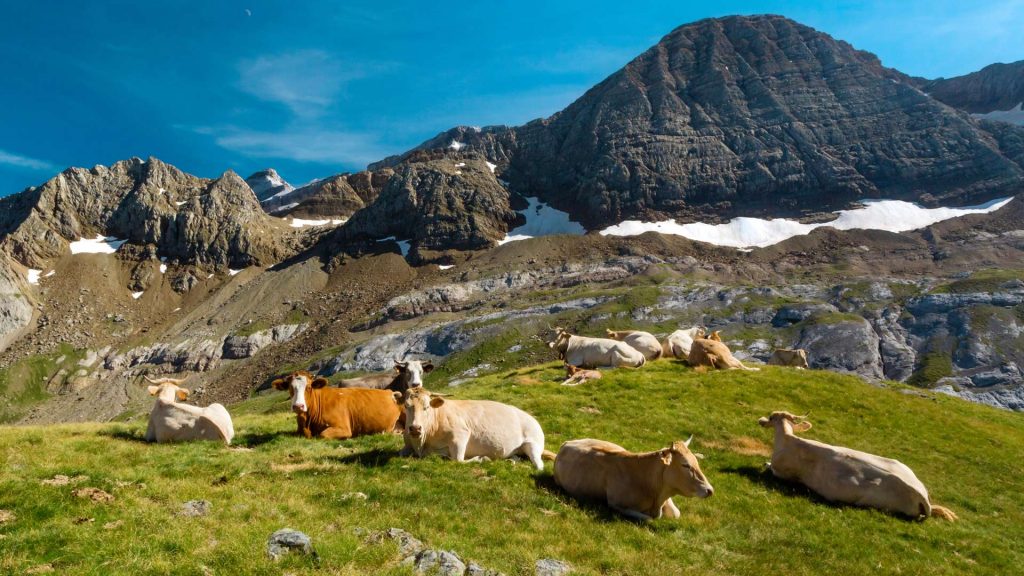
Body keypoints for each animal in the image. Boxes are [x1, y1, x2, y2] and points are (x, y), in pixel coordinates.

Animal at [274, 368, 405, 436]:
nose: (298, 406)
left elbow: (322, 434)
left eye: (309, 387)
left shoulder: (344, 428)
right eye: (290, 388)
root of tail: (390, 392)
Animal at [557, 434, 716, 520]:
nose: (710, 490)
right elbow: (648, 519)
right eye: (685, 465)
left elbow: (676, 513)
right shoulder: (616, 504)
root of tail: (567, 442)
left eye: (696, 461)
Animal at [757, 407, 954, 520]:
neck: (786, 440)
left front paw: (765, 463)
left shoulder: (781, 473)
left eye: (771, 417)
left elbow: (769, 467)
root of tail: (923, 496)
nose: (761, 420)